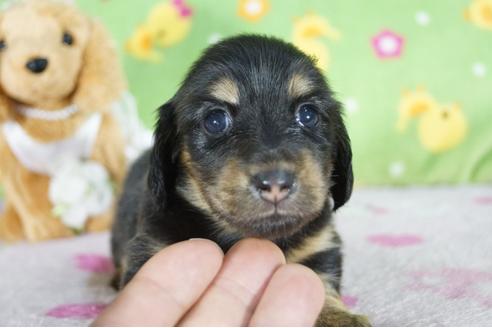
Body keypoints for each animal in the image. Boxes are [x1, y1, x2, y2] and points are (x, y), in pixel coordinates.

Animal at [112, 34, 368, 326]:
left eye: (308, 114)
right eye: (215, 120)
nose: (275, 183)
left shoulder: (318, 246)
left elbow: (319, 281)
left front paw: (337, 316)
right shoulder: (153, 247)